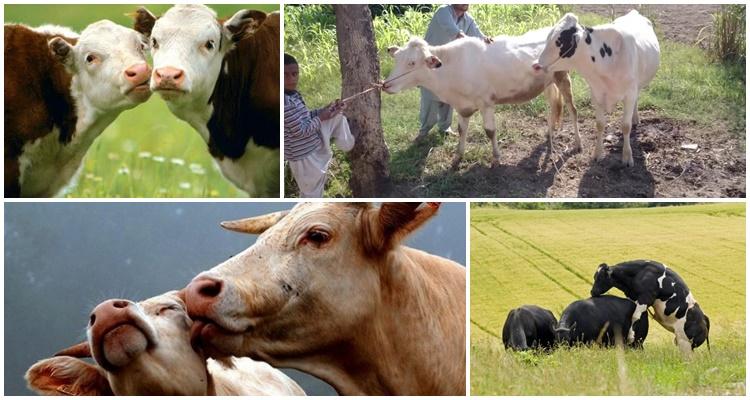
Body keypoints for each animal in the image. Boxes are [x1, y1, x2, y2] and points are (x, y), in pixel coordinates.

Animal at [384, 32, 580, 169]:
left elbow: (490, 131)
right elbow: (461, 130)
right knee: (554, 105)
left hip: (563, 76)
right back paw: (549, 132)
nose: (385, 84)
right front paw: (457, 157)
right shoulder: (462, 106)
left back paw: (578, 144)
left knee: (572, 109)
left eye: (411, 63)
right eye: (396, 59)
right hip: (548, 82)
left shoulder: (486, 103)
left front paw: (496, 159)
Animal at [533, 10, 660, 167]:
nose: (536, 65)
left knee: (637, 98)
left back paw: (635, 117)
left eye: (559, 41)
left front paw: (627, 156)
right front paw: (597, 153)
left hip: (639, 84)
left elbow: (625, 126)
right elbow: (600, 124)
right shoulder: (596, 94)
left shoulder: (629, 94)